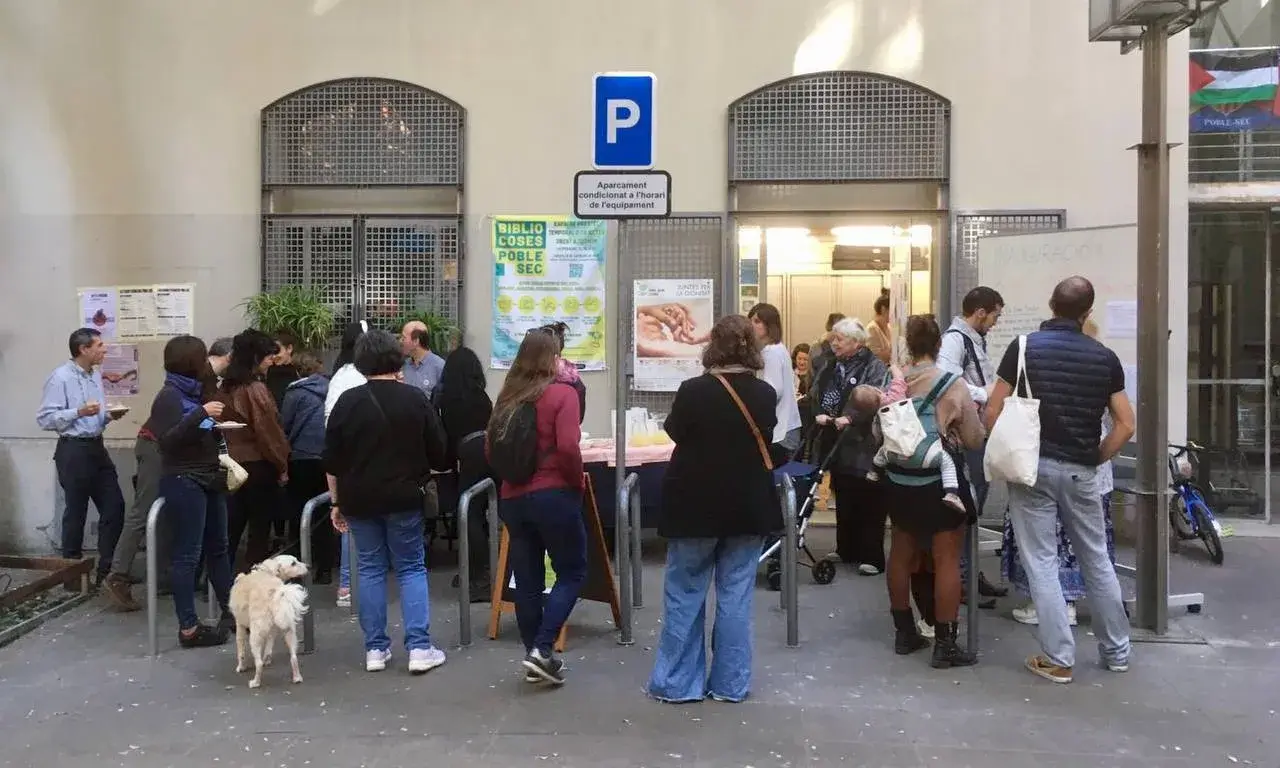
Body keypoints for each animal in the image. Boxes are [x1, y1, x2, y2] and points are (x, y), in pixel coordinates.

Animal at [230, 555, 309, 686]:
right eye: (293, 563)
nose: (309, 566)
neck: (266, 571)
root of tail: (274, 592)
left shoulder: (240, 626)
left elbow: (241, 652)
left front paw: (241, 667)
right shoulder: (273, 629)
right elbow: (269, 645)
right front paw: (267, 658)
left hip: (255, 636)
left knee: (259, 664)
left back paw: (255, 682)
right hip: (289, 631)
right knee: (293, 657)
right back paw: (297, 678)